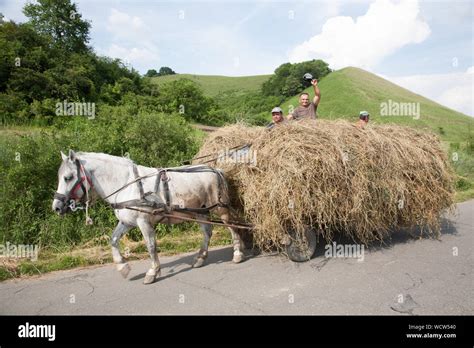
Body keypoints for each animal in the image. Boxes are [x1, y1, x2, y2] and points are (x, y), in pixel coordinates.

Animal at [51, 150, 244, 282]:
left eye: (68, 177)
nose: (57, 207)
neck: (127, 184)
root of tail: (214, 169)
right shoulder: (127, 222)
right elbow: (113, 240)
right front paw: (122, 266)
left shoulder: (144, 222)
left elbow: (151, 246)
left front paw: (152, 272)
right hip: (201, 211)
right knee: (207, 232)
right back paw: (200, 258)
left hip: (220, 208)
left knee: (232, 226)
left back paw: (237, 253)